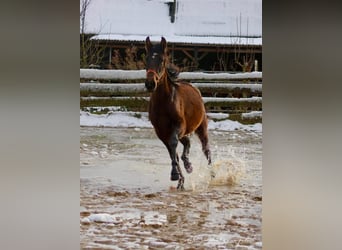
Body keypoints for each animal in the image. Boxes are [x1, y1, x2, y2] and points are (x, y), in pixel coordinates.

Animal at [144, 36, 211, 189]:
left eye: (162, 60)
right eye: (147, 59)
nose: (150, 84)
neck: (164, 103)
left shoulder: (179, 126)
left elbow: (173, 144)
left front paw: (177, 173)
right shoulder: (161, 132)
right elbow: (172, 153)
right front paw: (179, 177)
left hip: (201, 128)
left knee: (206, 149)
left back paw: (212, 173)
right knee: (187, 143)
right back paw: (187, 167)